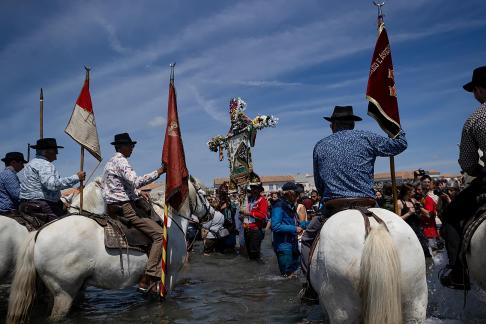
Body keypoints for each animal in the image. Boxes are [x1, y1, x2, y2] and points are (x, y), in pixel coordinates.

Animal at [6, 178, 214, 322]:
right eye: (204, 195)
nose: (211, 213)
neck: (169, 222)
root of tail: (39, 232)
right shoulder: (168, 276)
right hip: (63, 292)